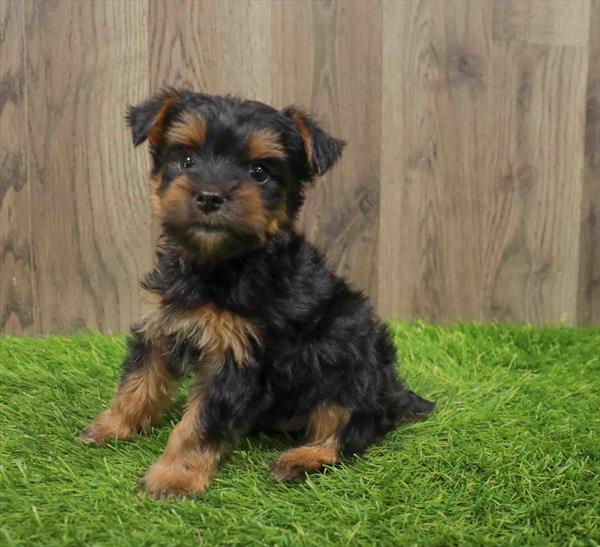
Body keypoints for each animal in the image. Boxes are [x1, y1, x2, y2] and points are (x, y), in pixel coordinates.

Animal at [79, 91, 436, 500]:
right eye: (187, 160)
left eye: (260, 172)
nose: (210, 197)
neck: (220, 265)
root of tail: (393, 391)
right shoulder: (160, 323)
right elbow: (138, 381)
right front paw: (112, 425)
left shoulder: (237, 355)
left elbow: (199, 423)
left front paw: (174, 477)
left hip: (354, 368)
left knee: (351, 427)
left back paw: (302, 458)